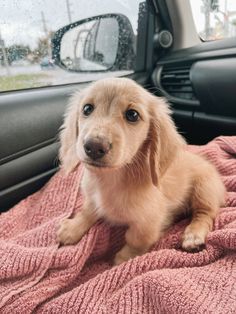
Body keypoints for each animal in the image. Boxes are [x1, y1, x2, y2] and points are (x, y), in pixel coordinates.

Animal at [56, 77, 225, 264]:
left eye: (132, 115)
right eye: (87, 108)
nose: (94, 147)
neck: (109, 178)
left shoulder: (148, 221)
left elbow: (136, 239)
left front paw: (123, 260)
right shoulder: (92, 198)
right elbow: (88, 211)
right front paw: (73, 228)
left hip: (204, 189)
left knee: (205, 214)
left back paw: (193, 236)